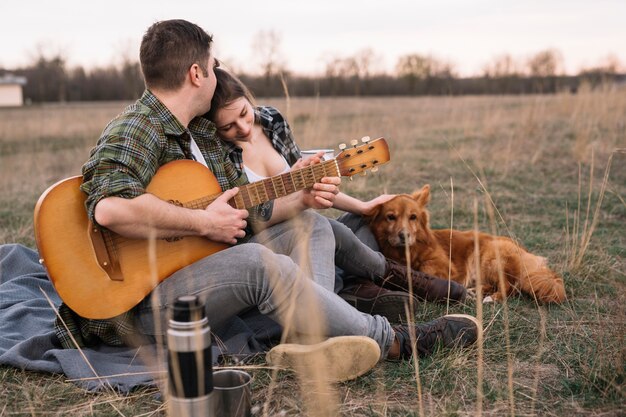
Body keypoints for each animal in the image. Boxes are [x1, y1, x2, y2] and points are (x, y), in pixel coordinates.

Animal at [366, 185, 564, 302]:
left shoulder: (446, 267)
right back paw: (477, 290)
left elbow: (425, 269)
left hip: (490, 258)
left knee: (510, 286)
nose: (404, 236)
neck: (407, 252)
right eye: (390, 217)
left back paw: (492, 297)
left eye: (412, 217)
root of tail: (526, 252)